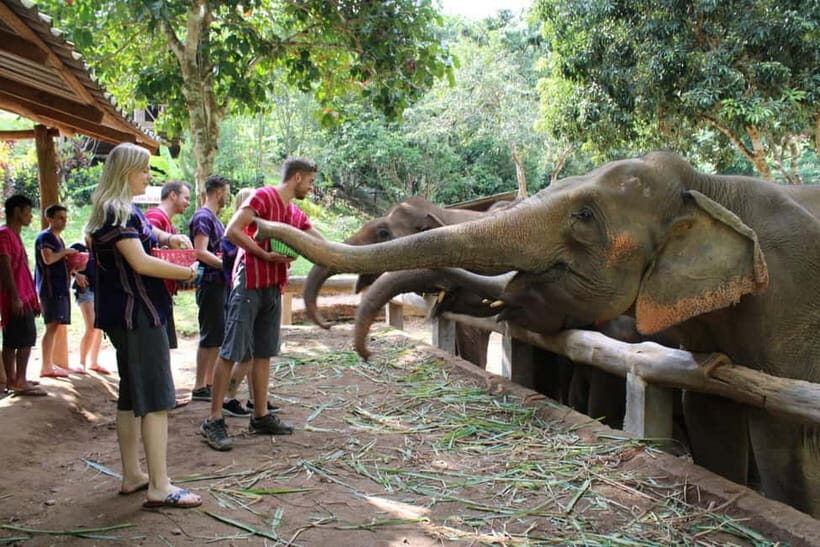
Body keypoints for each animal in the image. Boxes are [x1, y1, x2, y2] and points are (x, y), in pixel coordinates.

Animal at [255, 151, 820, 516]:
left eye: (585, 215)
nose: (258, 225)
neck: (710, 188)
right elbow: (710, 408)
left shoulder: (789, 301)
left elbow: (778, 429)